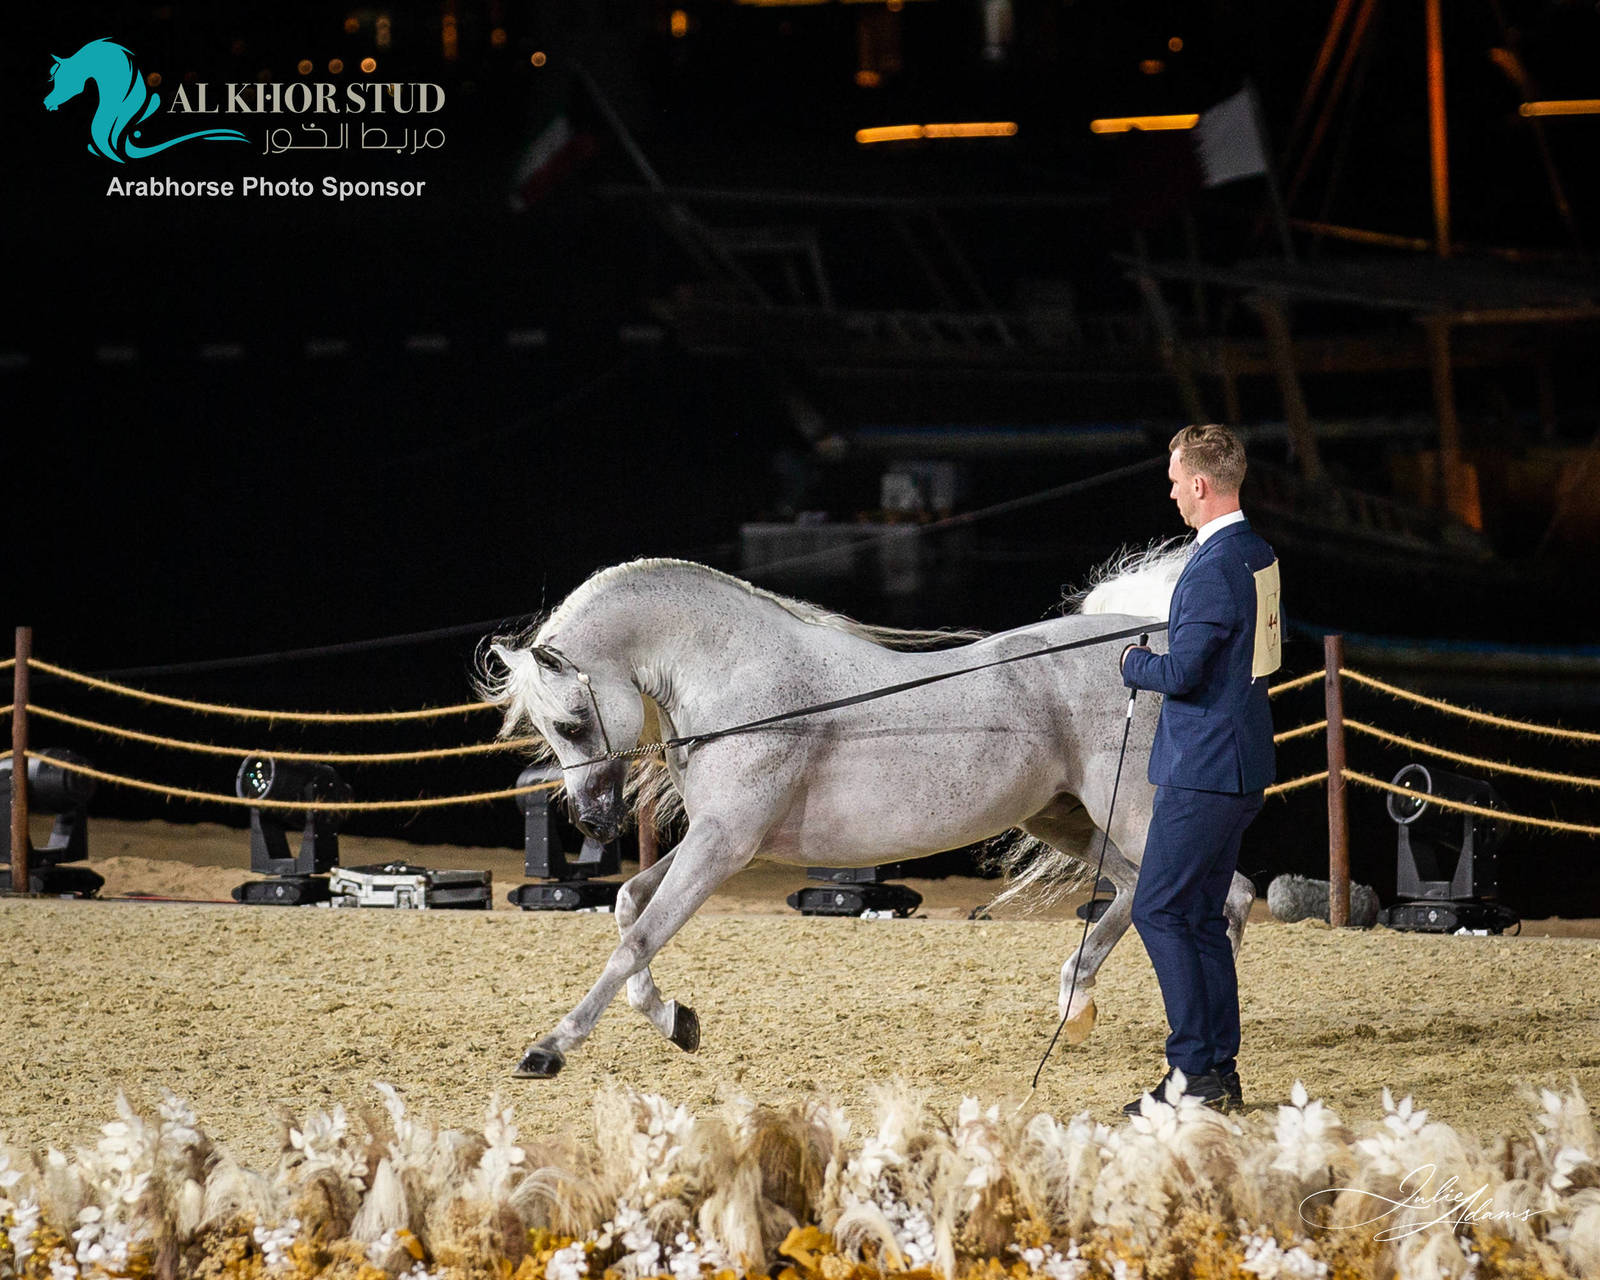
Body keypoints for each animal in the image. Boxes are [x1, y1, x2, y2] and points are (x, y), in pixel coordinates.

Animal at [481, 549, 1257, 1079]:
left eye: (573, 722)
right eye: (550, 730)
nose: (594, 823)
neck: (741, 681)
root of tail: (1153, 642)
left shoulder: (725, 845)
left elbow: (637, 938)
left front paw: (548, 1049)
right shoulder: (720, 839)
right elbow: (628, 907)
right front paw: (678, 1022)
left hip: (1132, 816)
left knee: (1217, 895)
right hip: (1066, 820)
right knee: (1147, 892)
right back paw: (1081, 1001)